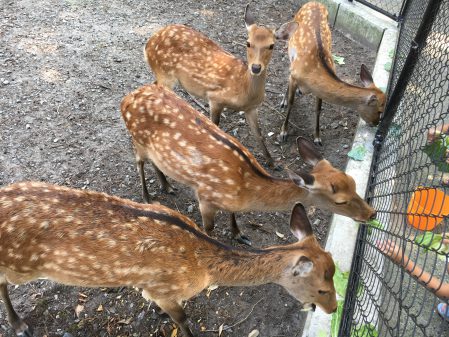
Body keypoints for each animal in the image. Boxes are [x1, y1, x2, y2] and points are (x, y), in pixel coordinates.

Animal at [0, 181, 336, 336]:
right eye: (321, 288)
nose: (333, 309)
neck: (204, 269)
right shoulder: (166, 287)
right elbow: (183, 319)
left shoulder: (153, 287)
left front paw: (157, 312)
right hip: (17, 264)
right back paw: (19, 324)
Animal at [119, 82, 374, 243]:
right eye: (340, 201)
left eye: (353, 182)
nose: (372, 214)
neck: (245, 188)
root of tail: (126, 99)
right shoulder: (205, 197)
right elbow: (208, 230)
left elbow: (233, 215)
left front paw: (239, 234)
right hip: (137, 139)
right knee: (138, 162)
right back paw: (147, 196)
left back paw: (168, 185)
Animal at [143, 3, 298, 168]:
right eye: (248, 42)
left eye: (271, 45)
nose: (256, 67)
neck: (244, 90)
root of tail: (148, 44)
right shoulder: (215, 98)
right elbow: (215, 126)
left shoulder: (251, 108)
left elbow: (259, 135)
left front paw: (272, 163)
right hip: (165, 73)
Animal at [276, 1, 384, 146]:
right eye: (380, 110)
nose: (375, 123)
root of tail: (314, 2)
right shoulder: (294, 75)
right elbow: (292, 102)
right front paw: (283, 132)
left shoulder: (317, 89)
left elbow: (318, 109)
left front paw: (317, 138)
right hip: (290, 47)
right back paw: (284, 101)